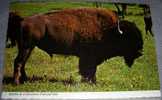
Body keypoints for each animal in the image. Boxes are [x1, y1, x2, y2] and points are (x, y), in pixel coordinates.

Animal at [7, 8, 143, 84]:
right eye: (129, 38)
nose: (140, 52)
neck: (109, 31)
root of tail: (23, 20)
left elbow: (92, 71)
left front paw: (93, 82)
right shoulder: (88, 57)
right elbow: (88, 70)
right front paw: (90, 82)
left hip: (29, 47)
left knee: (22, 62)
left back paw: (24, 80)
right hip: (26, 46)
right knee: (18, 62)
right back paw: (16, 82)